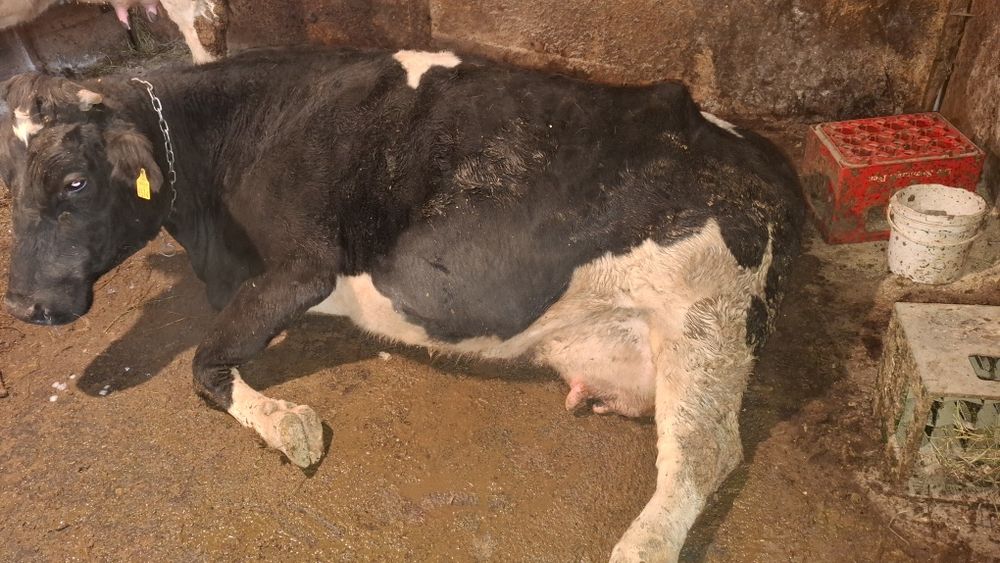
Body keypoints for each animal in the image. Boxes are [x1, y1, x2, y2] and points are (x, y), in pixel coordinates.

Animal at [0, 46, 804, 561]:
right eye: (9, 182)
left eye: (75, 182)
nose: (21, 304)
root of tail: (765, 159)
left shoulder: (304, 267)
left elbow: (202, 364)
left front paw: (288, 425)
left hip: (706, 311)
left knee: (703, 451)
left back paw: (640, 546)